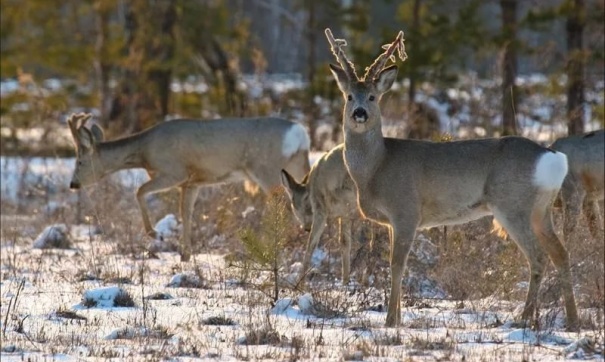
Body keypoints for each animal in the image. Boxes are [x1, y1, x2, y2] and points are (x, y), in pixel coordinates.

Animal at [68, 112, 310, 260]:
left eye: (79, 161)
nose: (73, 184)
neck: (145, 150)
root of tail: (300, 134)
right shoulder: (192, 182)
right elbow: (186, 213)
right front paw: (185, 255)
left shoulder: (174, 172)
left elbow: (139, 191)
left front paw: (156, 234)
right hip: (298, 166)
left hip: (266, 169)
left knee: (286, 205)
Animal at [324, 27, 580, 328]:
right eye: (349, 96)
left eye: (373, 97)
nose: (360, 113)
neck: (376, 167)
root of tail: (553, 156)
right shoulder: (392, 221)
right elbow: (397, 263)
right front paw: (396, 317)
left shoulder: (406, 210)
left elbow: (397, 265)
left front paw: (390, 320)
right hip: (541, 209)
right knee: (561, 253)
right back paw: (573, 321)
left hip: (513, 204)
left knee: (538, 257)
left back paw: (524, 319)